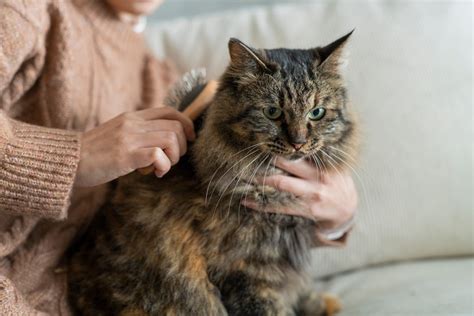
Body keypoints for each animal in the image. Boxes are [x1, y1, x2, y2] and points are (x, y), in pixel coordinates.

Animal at [67, 30, 360, 316]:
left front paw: (320, 303)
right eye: (272, 112)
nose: (298, 142)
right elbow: (274, 308)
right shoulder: (246, 273)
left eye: (316, 113)